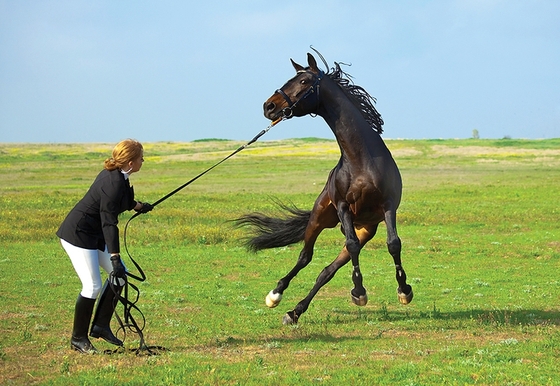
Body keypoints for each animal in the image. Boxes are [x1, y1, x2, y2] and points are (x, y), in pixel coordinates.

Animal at [234, 52, 414, 324]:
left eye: (304, 81)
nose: (269, 107)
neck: (361, 159)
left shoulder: (388, 205)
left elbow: (393, 243)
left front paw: (404, 291)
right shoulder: (342, 206)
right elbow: (351, 246)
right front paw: (359, 292)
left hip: (365, 229)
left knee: (327, 270)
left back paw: (295, 311)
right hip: (319, 218)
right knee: (305, 257)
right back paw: (276, 296)